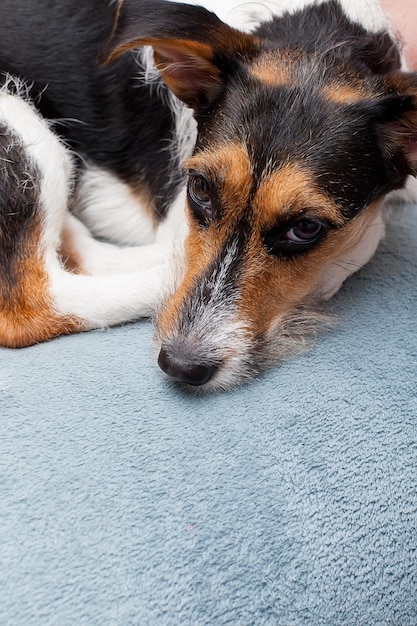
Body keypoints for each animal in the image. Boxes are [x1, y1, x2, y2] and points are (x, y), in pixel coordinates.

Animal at [0, 0, 414, 390]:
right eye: (200, 188)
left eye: (306, 227)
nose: (181, 366)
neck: (318, 36)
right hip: (21, 120)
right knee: (35, 302)